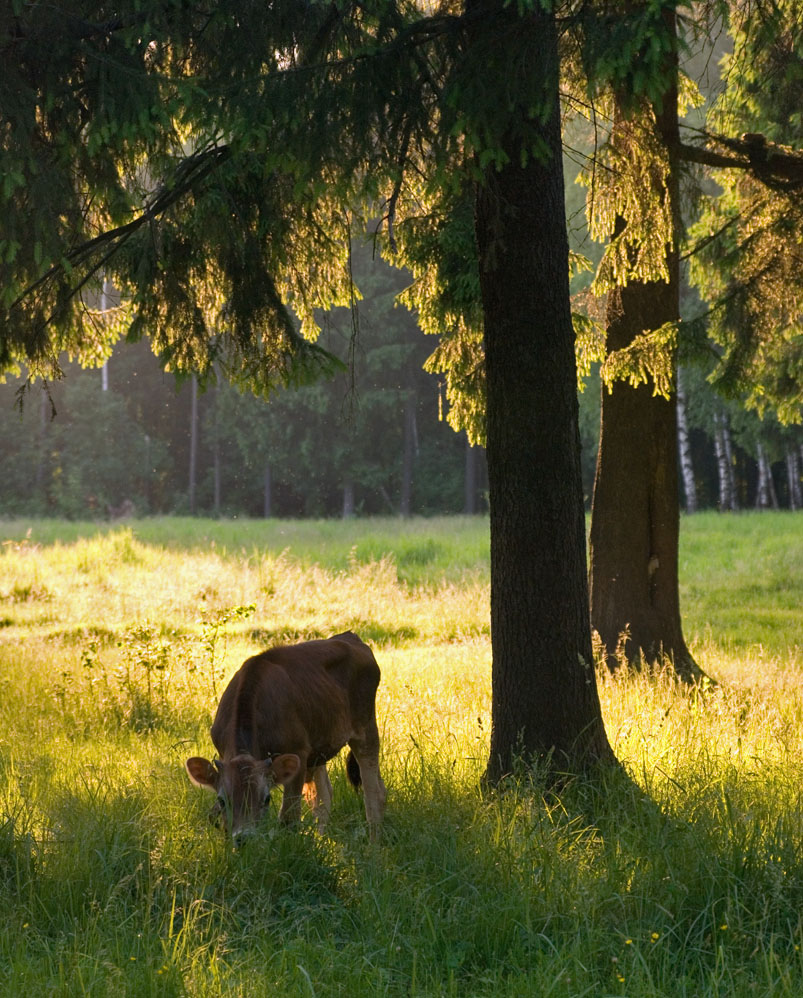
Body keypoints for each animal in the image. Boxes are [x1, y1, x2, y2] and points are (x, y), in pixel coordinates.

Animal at [185, 636, 386, 840]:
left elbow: (289, 818)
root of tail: (349, 636)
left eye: (267, 799)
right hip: (318, 750)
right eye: (222, 800)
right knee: (324, 797)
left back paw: (374, 843)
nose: (245, 837)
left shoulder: (298, 752)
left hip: (366, 730)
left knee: (374, 793)